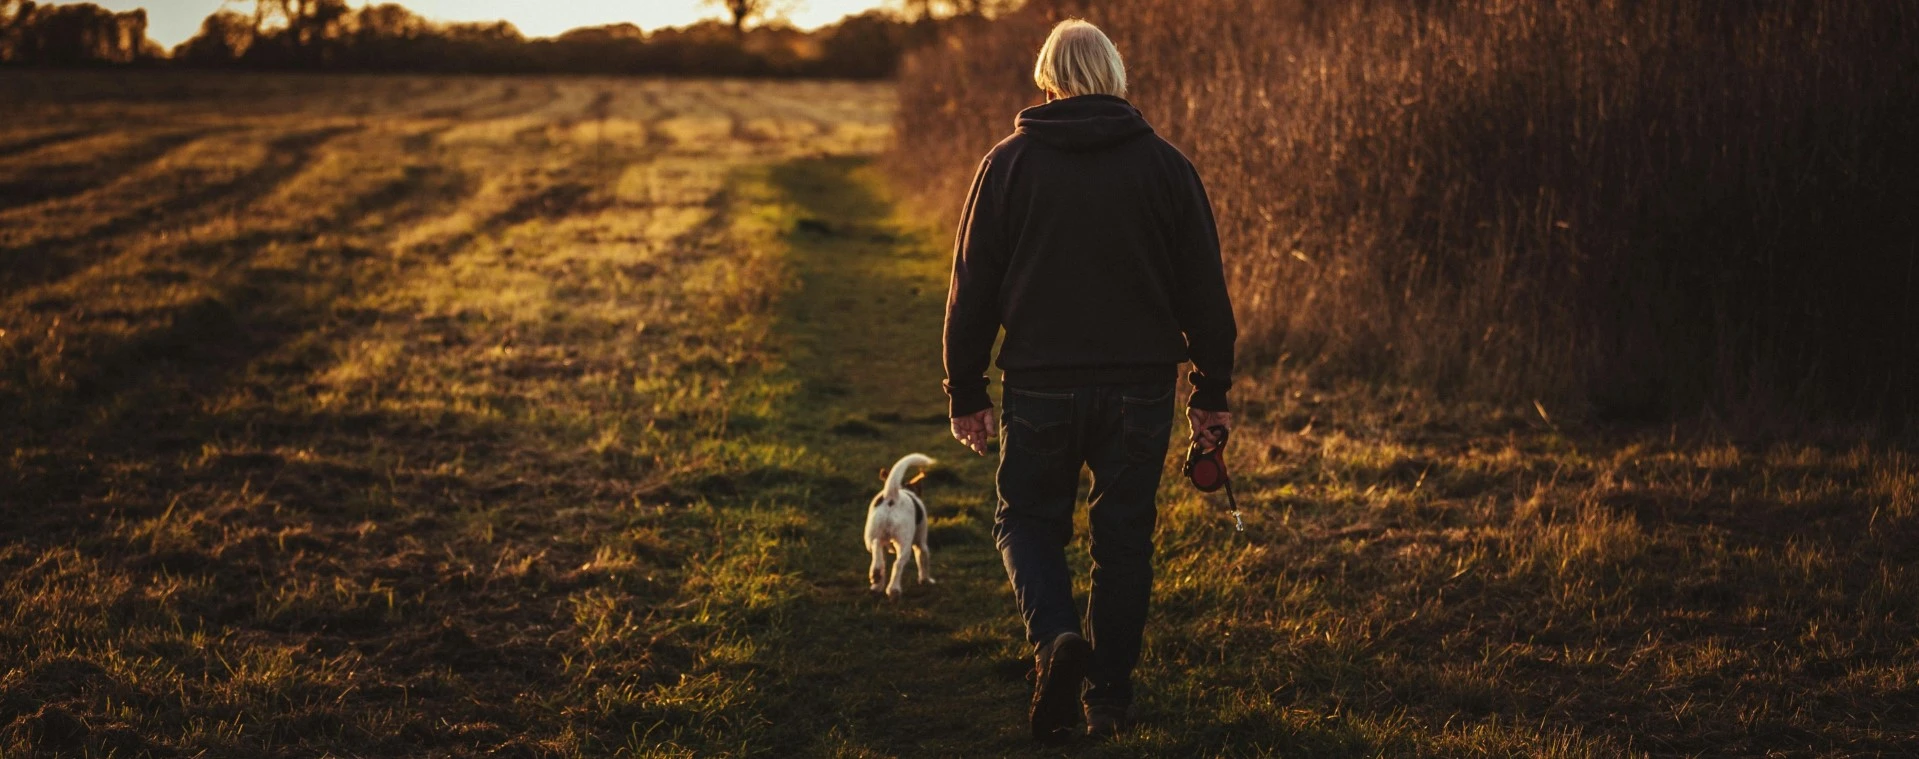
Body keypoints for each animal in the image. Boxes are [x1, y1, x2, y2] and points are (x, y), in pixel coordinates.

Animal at [863, 450, 936, 598]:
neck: (904, 489)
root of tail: (893, 495)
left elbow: (883, 561)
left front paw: (878, 585)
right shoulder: (921, 543)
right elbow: (924, 560)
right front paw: (926, 580)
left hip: (871, 535)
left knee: (876, 546)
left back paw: (876, 574)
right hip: (905, 543)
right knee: (898, 564)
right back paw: (893, 589)